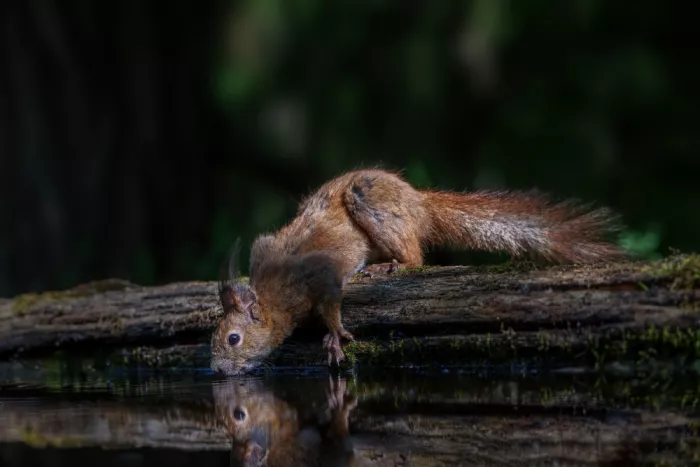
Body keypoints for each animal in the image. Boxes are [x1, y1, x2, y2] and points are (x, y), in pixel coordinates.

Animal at [210, 168, 624, 375]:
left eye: (234, 339)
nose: (215, 370)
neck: (273, 291)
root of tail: (418, 202)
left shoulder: (319, 274)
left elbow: (331, 305)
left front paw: (335, 335)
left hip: (371, 202)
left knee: (416, 255)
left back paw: (392, 265)